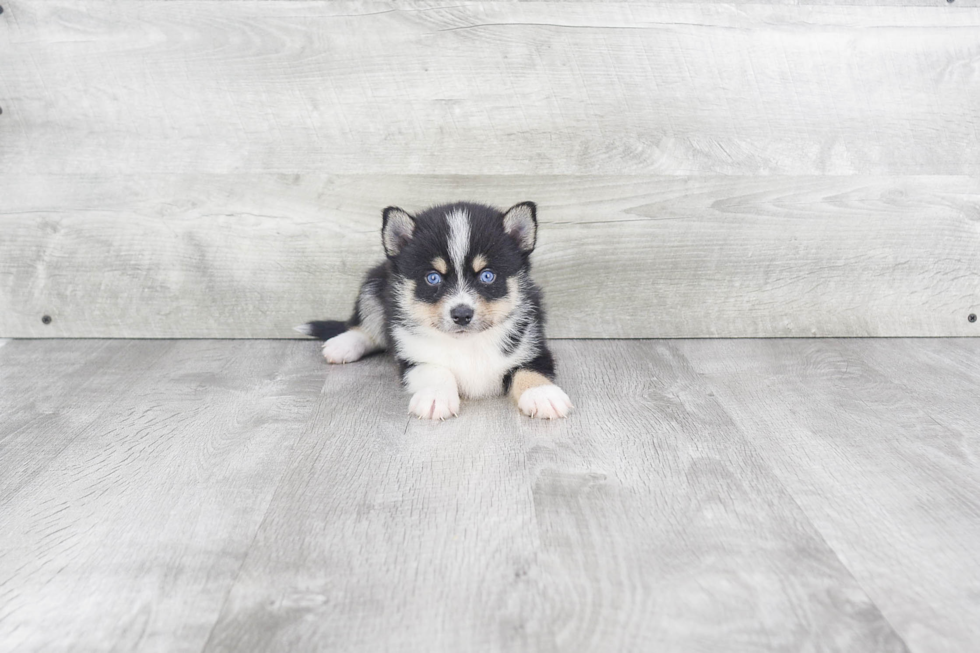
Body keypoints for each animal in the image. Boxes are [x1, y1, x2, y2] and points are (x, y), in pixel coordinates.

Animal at [294, 201, 572, 420]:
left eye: (487, 275)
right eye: (433, 278)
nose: (462, 314)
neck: (467, 344)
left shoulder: (534, 346)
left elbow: (529, 370)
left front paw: (542, 394)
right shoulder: (411, 358)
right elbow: (436, 370)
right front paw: (436, 397)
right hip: (373, 283)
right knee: (367, 325)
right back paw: (343, 344)